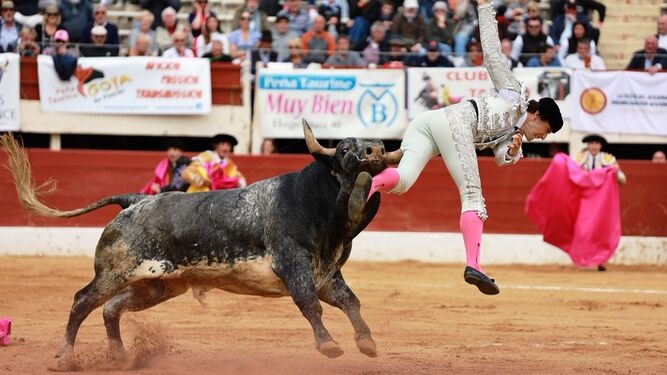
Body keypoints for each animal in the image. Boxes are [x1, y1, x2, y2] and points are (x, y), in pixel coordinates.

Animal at [0, 120, 402, 370]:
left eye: (379, 145)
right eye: (345, 149)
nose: (373, 151)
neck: (318, 204)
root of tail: (135, 201)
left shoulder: (326, 274)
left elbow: (350, 301)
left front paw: (367, 343)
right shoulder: (295, 265)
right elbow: (309, 305)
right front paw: (329, 345)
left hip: (157, 285)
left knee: (111, 309)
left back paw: (121, 357)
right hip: (114, 272)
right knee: (83, 300)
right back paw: (66, 356)